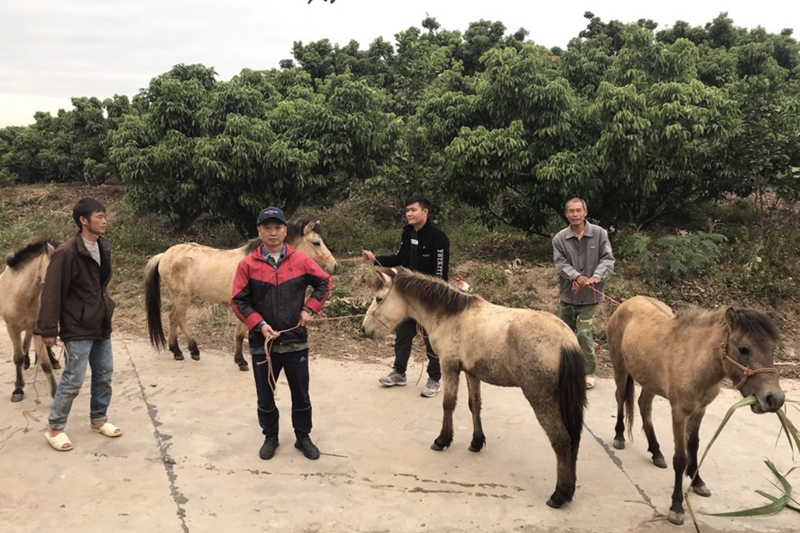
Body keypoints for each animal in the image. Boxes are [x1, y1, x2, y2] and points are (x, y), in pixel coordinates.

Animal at [0, 239, 62, 402]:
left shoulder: (37, 328)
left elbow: (45, 363)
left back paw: (54, 361)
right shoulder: (12, 328)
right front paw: (18, 389)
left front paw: (55, 391)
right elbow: (18, 358)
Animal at [145, 217, 336, 370]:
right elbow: (240, 334)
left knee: (172, 317)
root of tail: (164, 255)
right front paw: (241, 361)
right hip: (183, 296)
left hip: (179, 296)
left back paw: (176, 351)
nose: (334, 266)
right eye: (317, 243)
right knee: (179, 317)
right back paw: (193, 350)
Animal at [362, 266, 588, 508]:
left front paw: (442, 440)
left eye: (378, 298)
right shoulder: (471, 373)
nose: (364, 329)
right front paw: (476, 442)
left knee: (562, 439)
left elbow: (448, 404)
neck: (451, 314)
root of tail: (567, 341)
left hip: (540, 398)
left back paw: (559, 495)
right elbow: (474, 406)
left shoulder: (449, 366)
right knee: (574, 440)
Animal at [608, 296, 784, 524]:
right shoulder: (679, 412)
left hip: (649, 379)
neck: (695, 359)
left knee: (644, 406)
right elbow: (680, 458)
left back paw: (656, 452)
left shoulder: (700, 410)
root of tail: (628, 302)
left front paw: (697, 481)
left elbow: (694, 446)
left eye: (772, 349)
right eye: (744, 349)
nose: (775, 399)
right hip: (620, 368)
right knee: (621, 398)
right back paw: (619, 436)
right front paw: (676, 506)